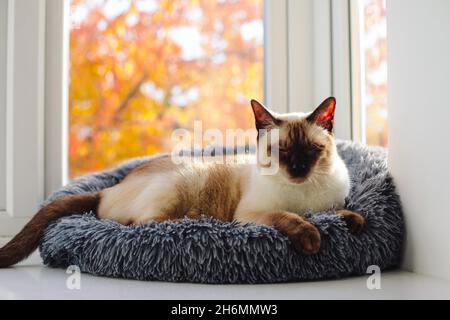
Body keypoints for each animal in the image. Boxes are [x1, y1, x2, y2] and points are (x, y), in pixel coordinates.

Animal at [0, 97, 364, 268]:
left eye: (312, 151)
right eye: (282, 152)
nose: (298, 169)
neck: (304, 193)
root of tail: (108, 187)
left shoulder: (327, 204)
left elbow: (335, 212)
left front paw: (354, 222)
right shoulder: (255, 215)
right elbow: (292, 219)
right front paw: (312, 238)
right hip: (181, 185)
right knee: (144, 225)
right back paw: (200, 223)